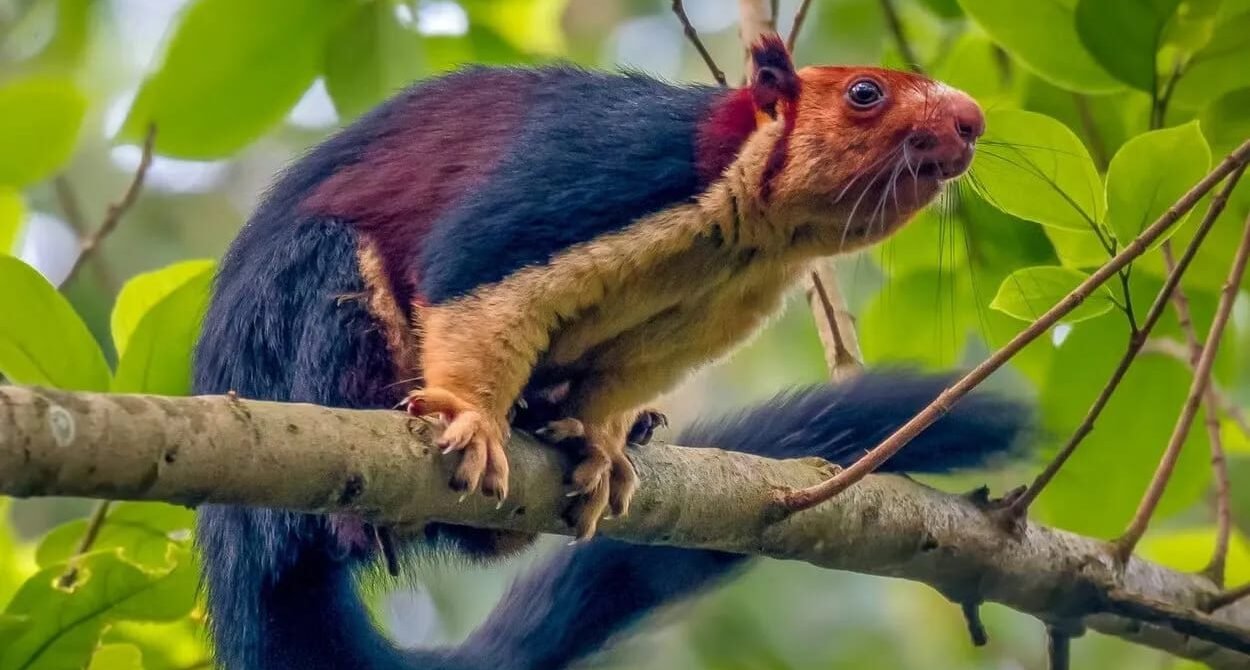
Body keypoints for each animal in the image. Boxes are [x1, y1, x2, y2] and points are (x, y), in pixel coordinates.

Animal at [193, 33, 1018, 670]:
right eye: (865, 93)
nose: (973, 120)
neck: (749, 231)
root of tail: (236, 550)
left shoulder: (714, 311)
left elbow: (623, 377)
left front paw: (600, 444)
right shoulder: (607, 172)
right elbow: (471, 271)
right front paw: (472, 420)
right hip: (304, 321)